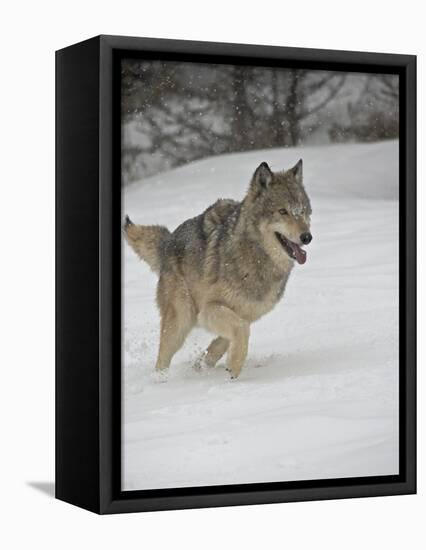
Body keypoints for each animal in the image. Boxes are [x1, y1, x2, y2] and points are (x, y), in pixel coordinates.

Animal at [125, 160, 312, 380]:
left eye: (303, 211)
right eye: (283, 211)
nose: (307, 237)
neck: (255, 257)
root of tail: (169, 241)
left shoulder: (249, 313)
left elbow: (229, 337)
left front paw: (207, 363)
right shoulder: (209, 309)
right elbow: (241, 329)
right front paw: (234, 369)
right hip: (182, 319)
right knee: (162, 358)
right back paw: (161, 379)